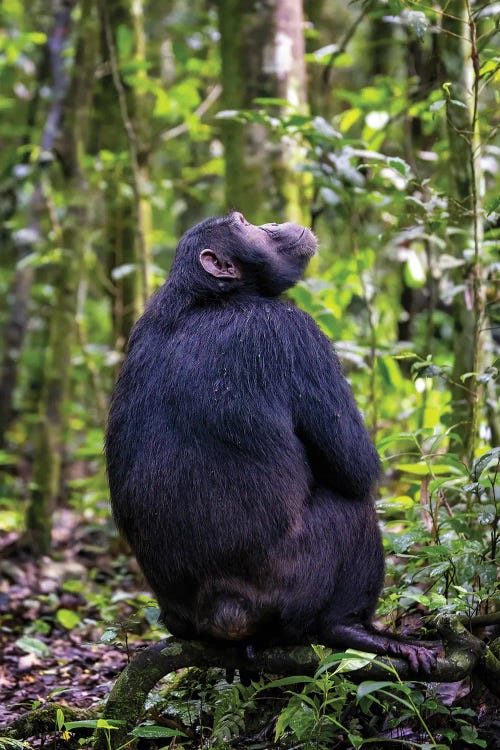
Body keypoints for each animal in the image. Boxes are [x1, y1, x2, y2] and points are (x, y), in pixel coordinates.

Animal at [105, 213, 438, 676]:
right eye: (244, 224)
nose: (271, 223)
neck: (212, 298)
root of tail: (225, 611)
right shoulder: (296, 332)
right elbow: (357, 466)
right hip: (293, 582)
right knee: (351, 511)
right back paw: (355, 630)